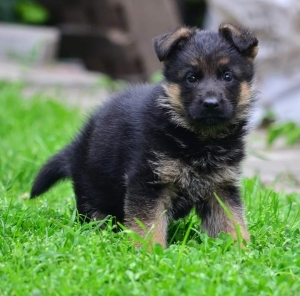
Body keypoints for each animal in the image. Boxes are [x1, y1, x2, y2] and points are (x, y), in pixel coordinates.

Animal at [30, 24, 258, 249]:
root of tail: (76, 147)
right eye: (191, 78)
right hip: (93, 191)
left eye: (227, 76)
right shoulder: (148, 182)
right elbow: (149, 224)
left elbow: (232, 221)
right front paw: (150, 253)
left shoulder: (221, 187)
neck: (200, 138)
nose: (211, 104)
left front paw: (241, 251)